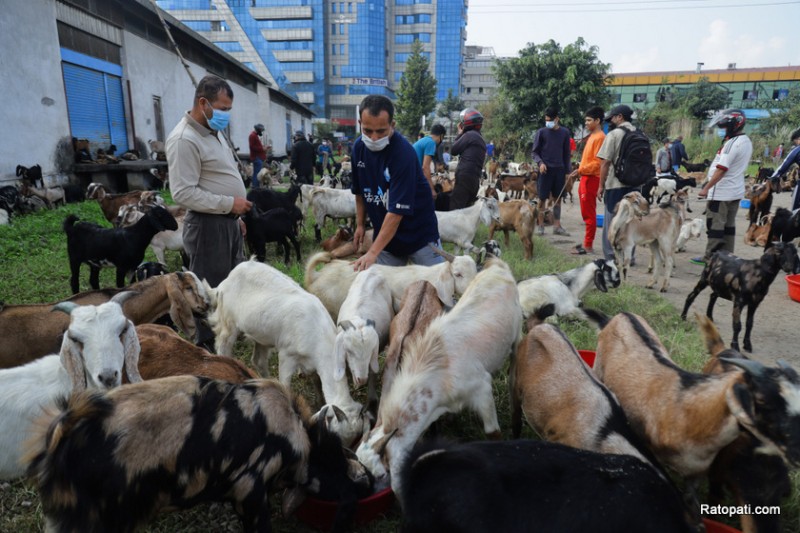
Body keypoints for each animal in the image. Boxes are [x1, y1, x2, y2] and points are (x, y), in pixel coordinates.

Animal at [206, 260, 368, 442]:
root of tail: (226, 280)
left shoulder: (312, 363)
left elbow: (317, 383)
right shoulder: (287, 355)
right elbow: (285, 383)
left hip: (262, 335)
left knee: (258, 360)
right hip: (229, 322)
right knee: (223, 346)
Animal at [358, 256, 524, 490]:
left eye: (382, 474)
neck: (436, 372)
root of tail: (497, 265)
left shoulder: (482, 388)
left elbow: (493, 433)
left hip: (517, 334)